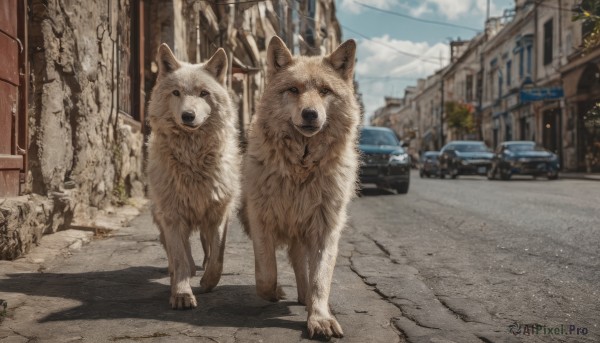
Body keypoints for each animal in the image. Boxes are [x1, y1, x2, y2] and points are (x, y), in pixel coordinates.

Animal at [148, 44, 241, 310]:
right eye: (176, 93)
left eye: (204, 93)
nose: (188, 115)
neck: (193, 160)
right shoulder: (172, 215)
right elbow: (179, 257)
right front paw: (182, 293)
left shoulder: (219, 211)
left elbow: (218, 257)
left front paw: (208, 282)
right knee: (179, 252)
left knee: (206, 247)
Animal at [240, 37, 360, 338]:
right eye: (293, 90)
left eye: (325, 91)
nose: (310, 114)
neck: (300, 167)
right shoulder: (260, 221)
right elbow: (266, 273)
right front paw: (273, 293)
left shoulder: (325, 228)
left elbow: (320, 280)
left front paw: (319, 318)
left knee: (302, 268)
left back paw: (305, 299)